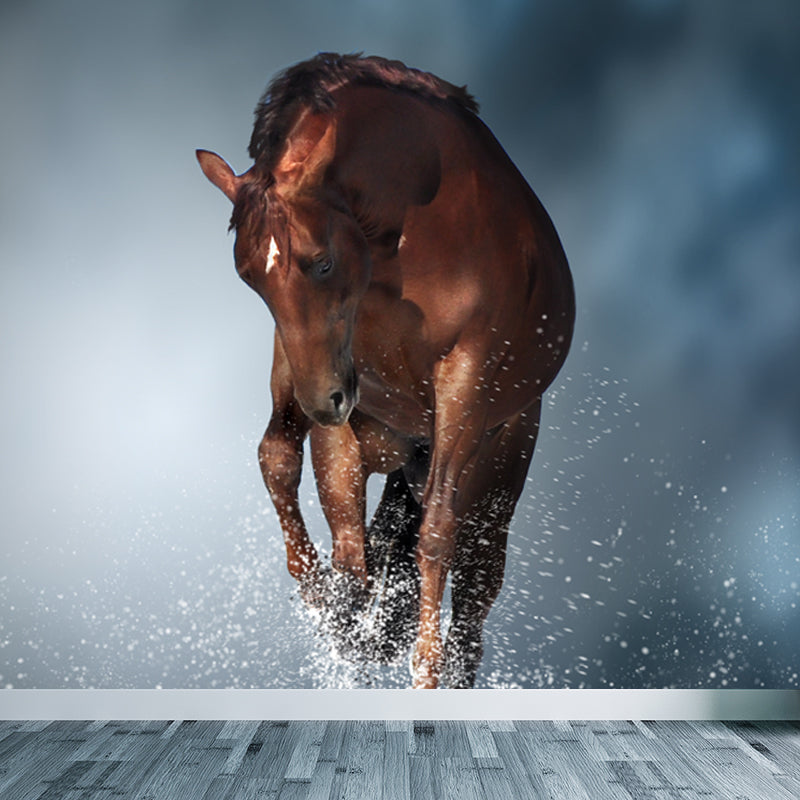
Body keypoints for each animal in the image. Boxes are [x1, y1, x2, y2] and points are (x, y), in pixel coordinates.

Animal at [197, 53, 575, 688]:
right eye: (250, 277)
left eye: (321, 262)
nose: (327, 403)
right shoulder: (313, 370)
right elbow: (296, 479)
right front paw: (327, 603)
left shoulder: (465, 381)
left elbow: (436, 532)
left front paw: (424, 669)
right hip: (375, 439)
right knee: (344, 527)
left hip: (497, 474)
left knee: (471, 603)